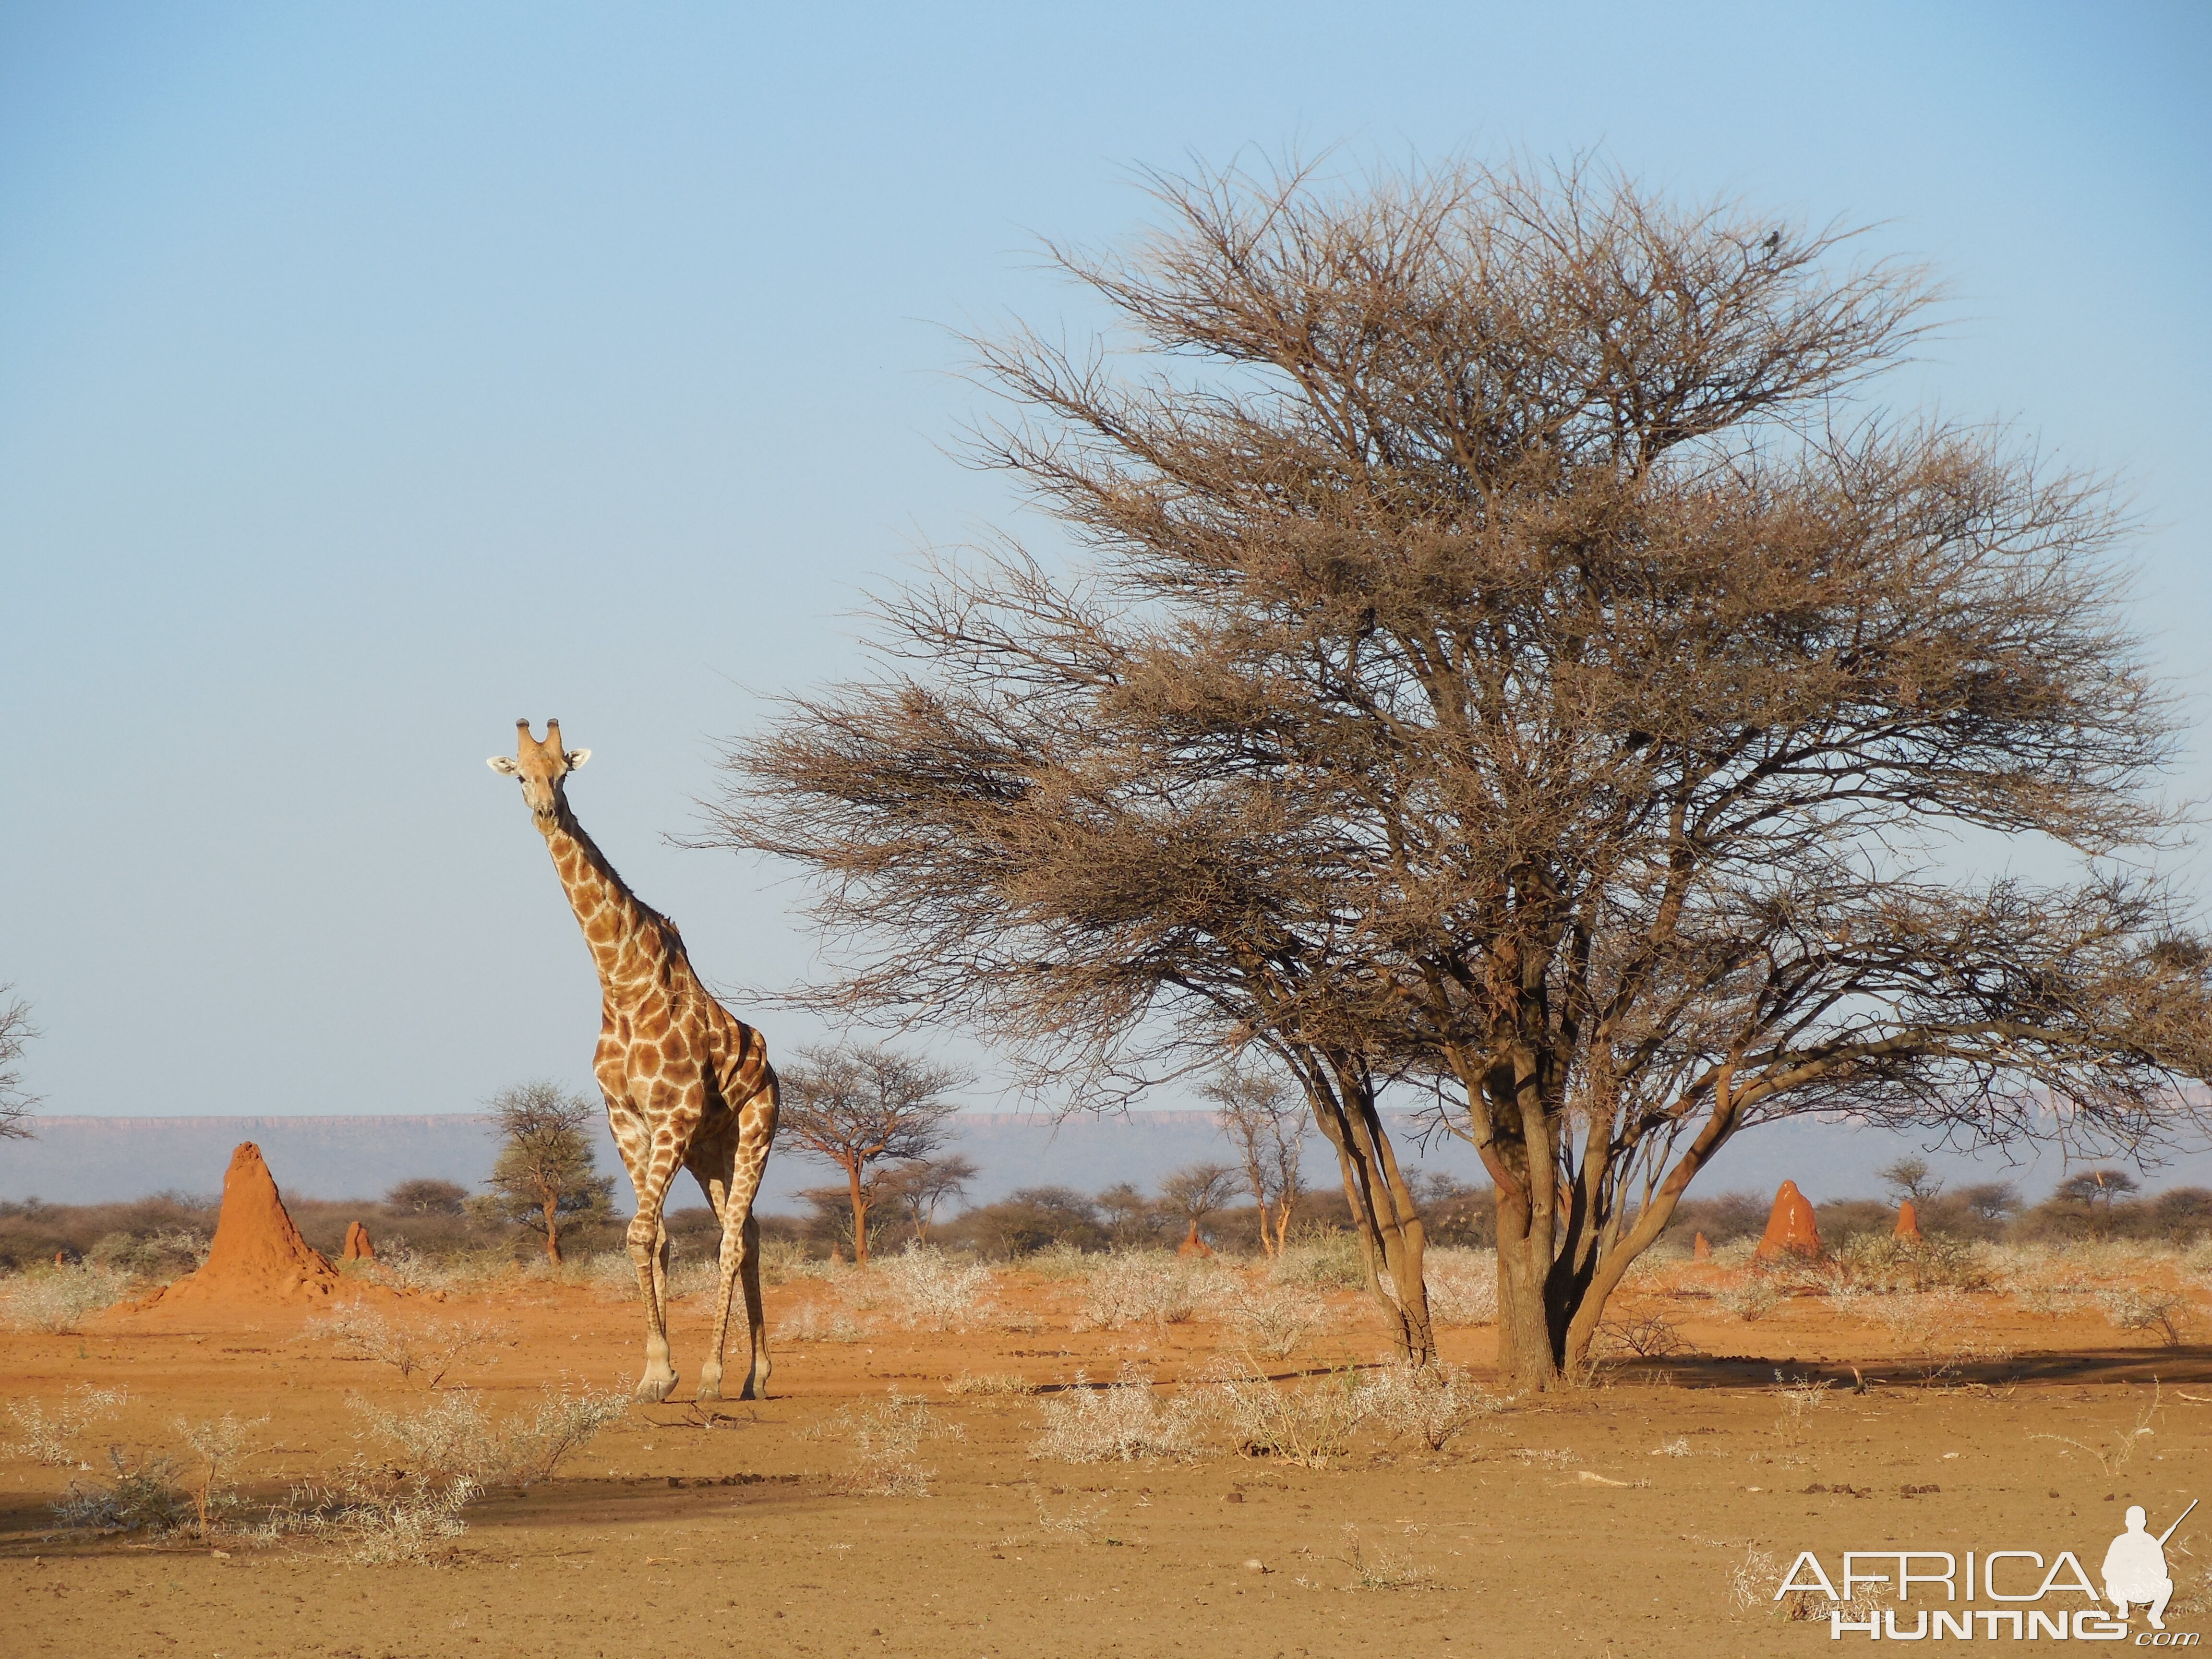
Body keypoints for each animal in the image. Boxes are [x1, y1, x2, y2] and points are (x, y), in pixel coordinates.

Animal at [491, 716, 779, 1407]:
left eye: (563, 772)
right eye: (520, 776)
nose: (546, 811)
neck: (622, 983)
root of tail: (770, 1068)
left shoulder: (671, 1114)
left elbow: (642, 1234)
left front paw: (676, 1373)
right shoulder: (627, 1119)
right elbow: (657, 1239)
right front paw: (654, 1373)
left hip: (755, 1130)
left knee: (733, 1241)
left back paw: (715, 1378)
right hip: (711, 1151)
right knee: (750, 1233)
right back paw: (755, 1375)